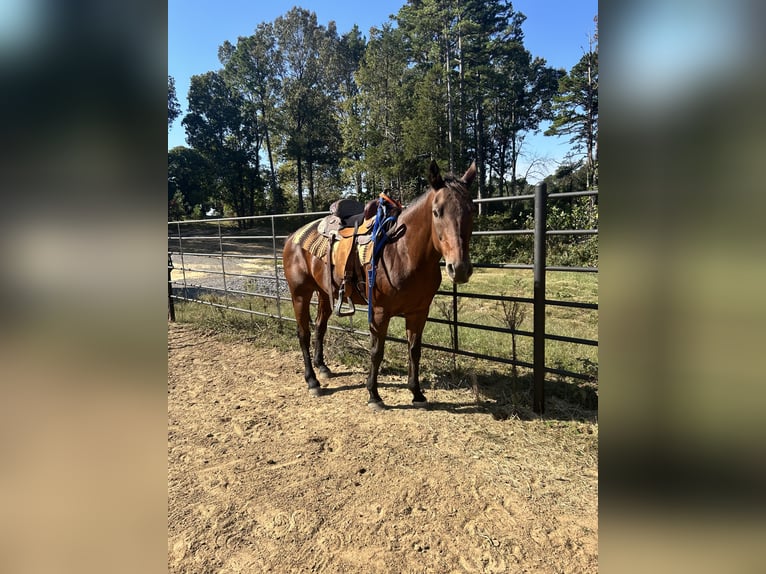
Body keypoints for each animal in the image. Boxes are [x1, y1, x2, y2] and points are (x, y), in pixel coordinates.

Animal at [282, 160, 477, 409]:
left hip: (325, 293)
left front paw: (417, 393)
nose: (459, 268)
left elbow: (414, 350)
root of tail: (292, 237)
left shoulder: (419, 312)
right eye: (437, 212)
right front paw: (374, 394)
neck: (403, 252)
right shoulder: (379, 313)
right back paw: (312, 381)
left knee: (319, 327)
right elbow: (377, 351)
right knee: (303, 333)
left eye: (472, 211)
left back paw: (322, 367)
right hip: (300, 294)